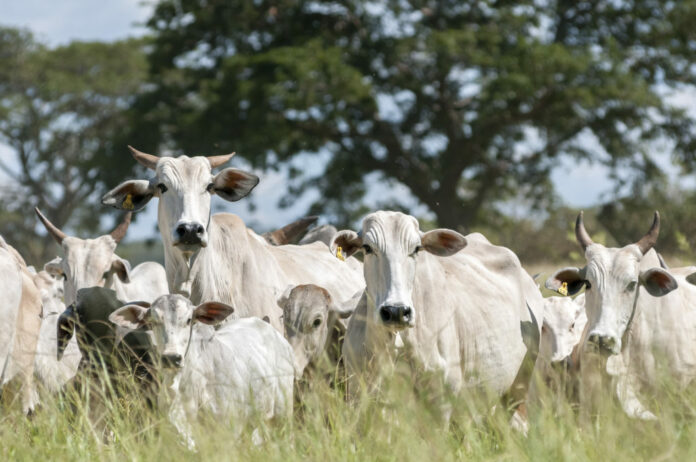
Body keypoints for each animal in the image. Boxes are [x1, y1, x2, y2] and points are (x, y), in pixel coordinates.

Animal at [330, 211, 544, 427]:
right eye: (367, 247)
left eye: (416, 249)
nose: (396, 311)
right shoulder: (359, 396)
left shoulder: (441, 406)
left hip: (517, 392)